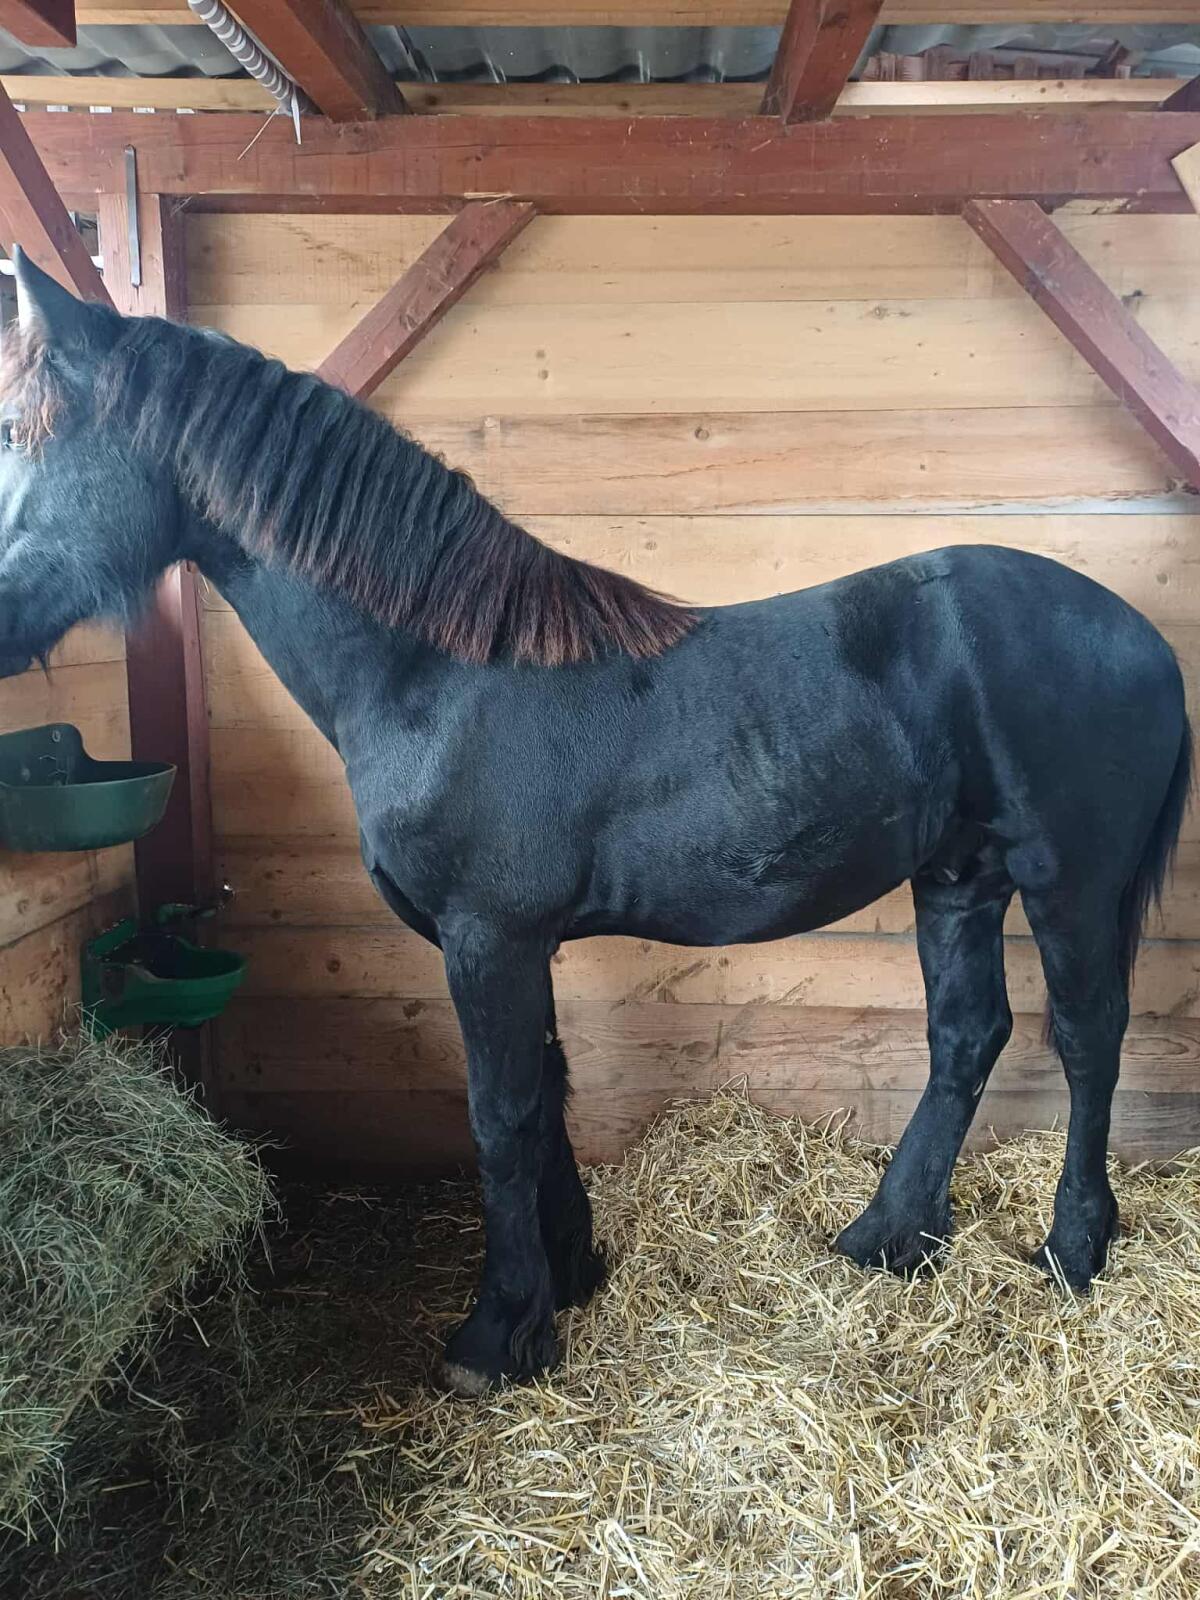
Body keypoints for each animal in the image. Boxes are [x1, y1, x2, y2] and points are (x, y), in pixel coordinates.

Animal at [0, 249, 1190, 1395]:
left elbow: (501, 1113)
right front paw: (564, 1280)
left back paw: (1073, 1247)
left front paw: (495, 1332)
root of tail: (1143, 637)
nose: (1, 622)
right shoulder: (516, 942)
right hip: (957, 875)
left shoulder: (487, 937)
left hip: (1067, 881)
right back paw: (891, 1235)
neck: (439, 674)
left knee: (1088, 1037)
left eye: (19, 435)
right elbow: (548, 1095)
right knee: (966, 1035)